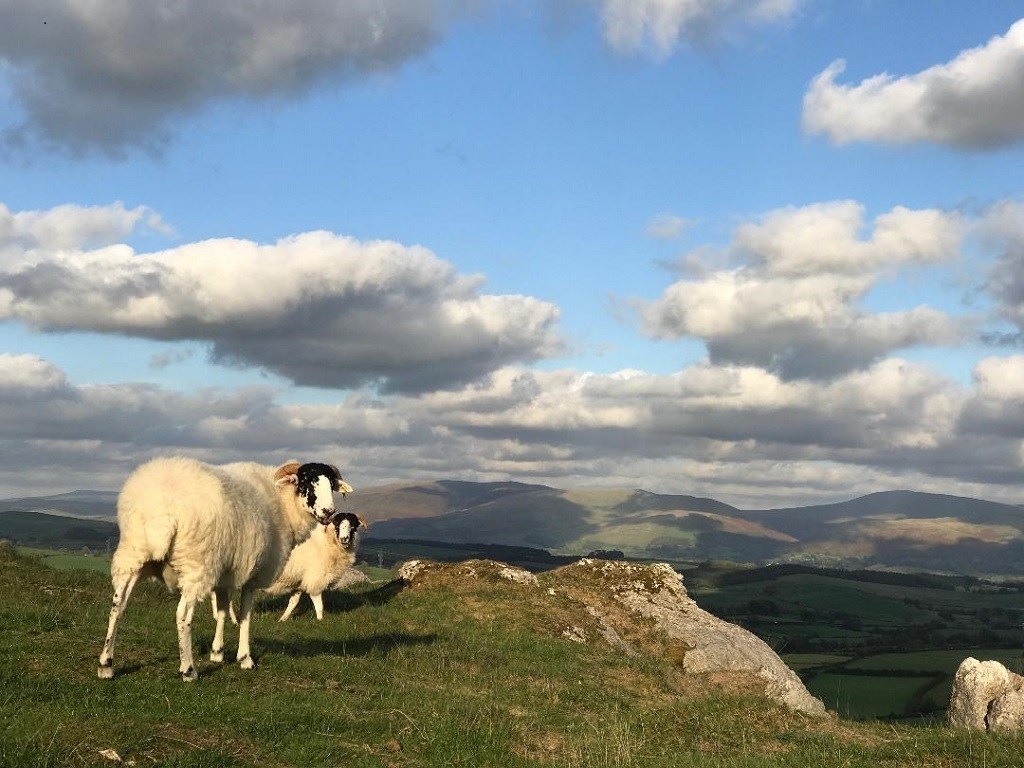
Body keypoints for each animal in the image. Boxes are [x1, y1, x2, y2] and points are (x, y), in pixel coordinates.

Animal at [96, 457, 352, 682]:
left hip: (133, 554)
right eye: (307, 482)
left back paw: (106, 665)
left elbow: (221, 611)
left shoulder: (225, 573)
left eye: (331, 484)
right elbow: (245, 616)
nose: (328, 512)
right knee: (182, 615)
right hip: (197, 563)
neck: (283, 504)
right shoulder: (252, 573)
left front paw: (217, 652)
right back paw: (188, 670)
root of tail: (161, 508)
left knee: (117, 606)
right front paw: (245, 658)